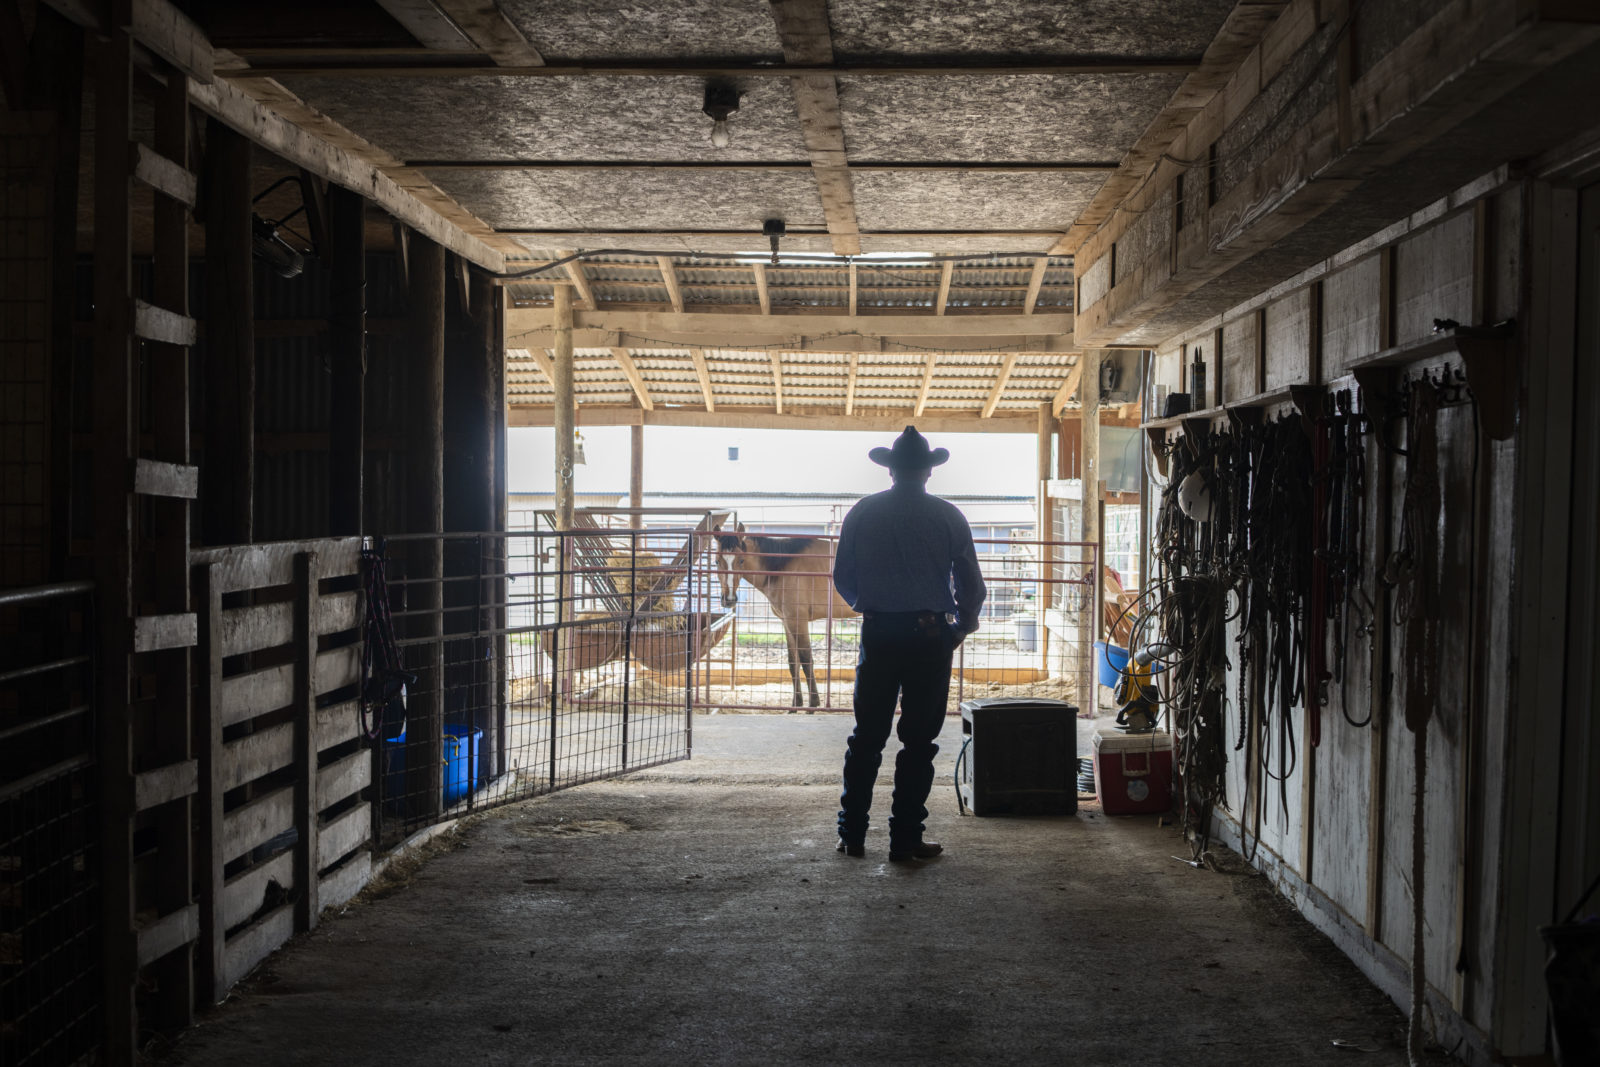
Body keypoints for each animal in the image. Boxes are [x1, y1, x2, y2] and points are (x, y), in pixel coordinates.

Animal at [714, 525, 856, 710]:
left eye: (741, 560)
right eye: (717, 561)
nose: (729, 599)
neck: (782, 567)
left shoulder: (797, 620)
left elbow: (805, 658)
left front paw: (813, 704)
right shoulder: (787, 622)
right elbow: (793, 662)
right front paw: (796, 704)